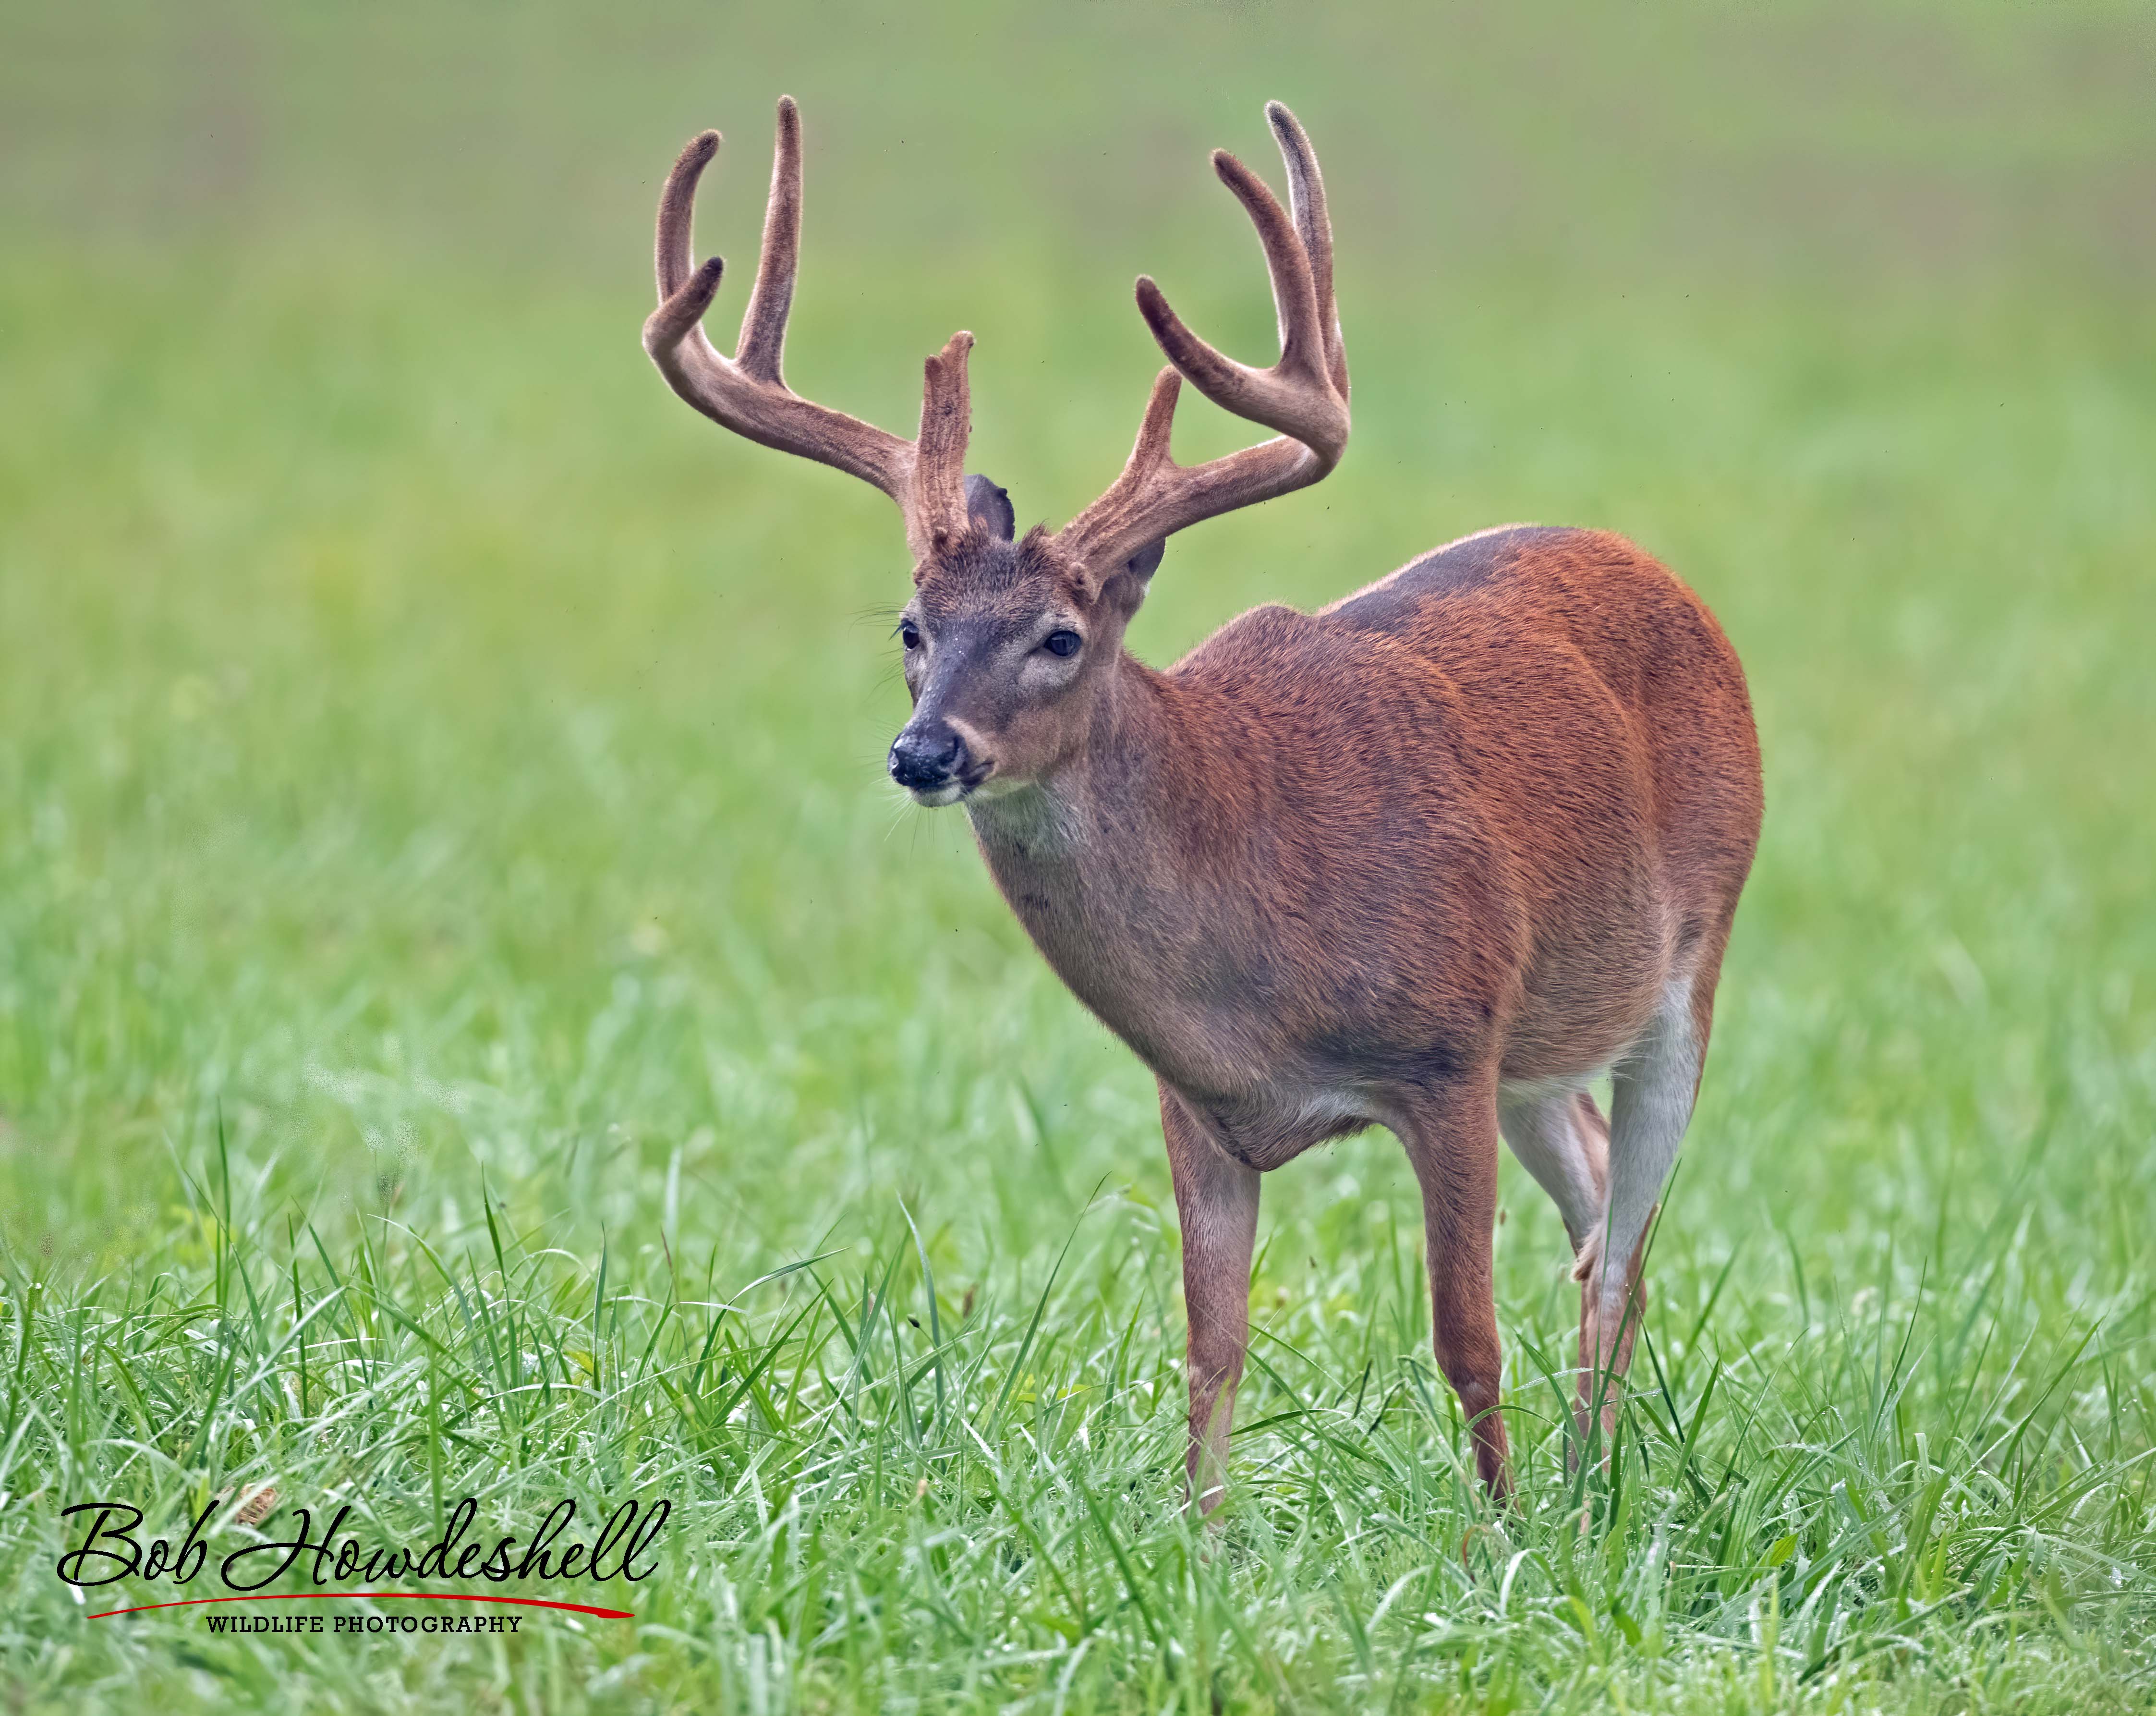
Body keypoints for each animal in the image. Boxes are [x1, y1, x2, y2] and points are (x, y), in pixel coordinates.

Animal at [641, 97, 1763, 1507]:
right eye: (911, 627)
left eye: (1060, 637)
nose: (924, 750)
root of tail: (1659, 572)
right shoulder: (1198, 1099)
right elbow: (1209, 1343)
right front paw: (1195, 1530)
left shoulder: (1447, 1049)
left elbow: (1463, 1337)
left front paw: (1494, 1532)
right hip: (1542, 1038)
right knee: (1597, 1194)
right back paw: (1584, 1469)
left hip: (1685, 962)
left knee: (1623, 1243)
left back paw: (1579, 1491)